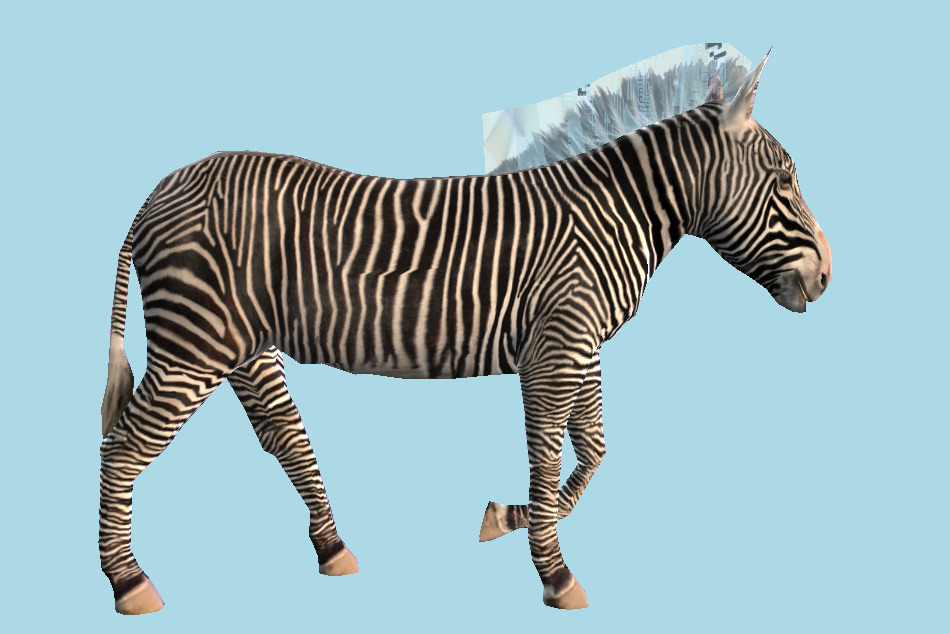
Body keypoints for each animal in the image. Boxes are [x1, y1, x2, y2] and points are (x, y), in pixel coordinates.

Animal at [99, 49, 832, 614]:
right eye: (786, 180)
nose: (827, 277)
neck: (609, 215)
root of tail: (161, 189)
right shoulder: (555, 349)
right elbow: (547, 457)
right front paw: (554, 574)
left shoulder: (582, 346)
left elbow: (594, 449)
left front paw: (509, 520)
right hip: (193, 345)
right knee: (123, 447)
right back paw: (128, 583)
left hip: (241, 345)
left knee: (285, 437)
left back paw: (333, 549)